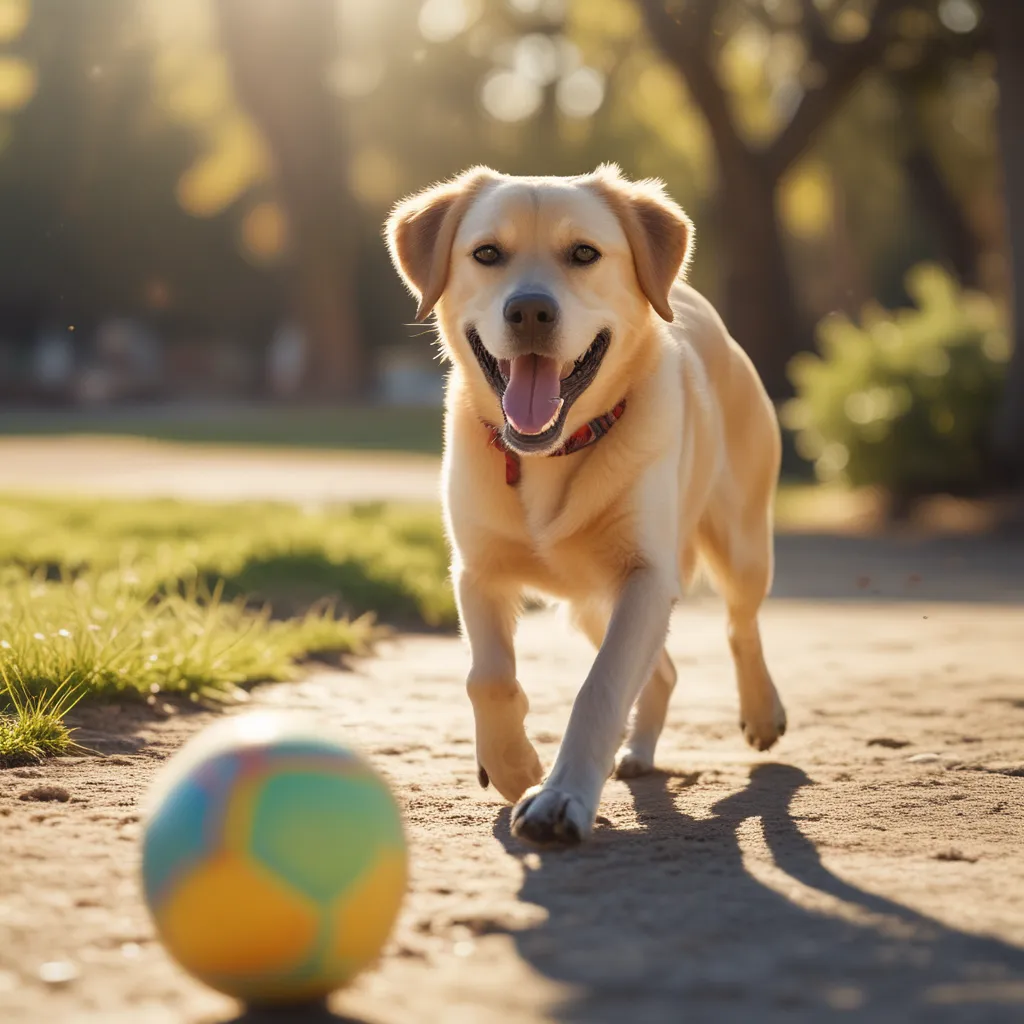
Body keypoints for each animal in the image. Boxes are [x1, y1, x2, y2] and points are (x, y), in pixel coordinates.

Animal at [385, 163, 782, 843]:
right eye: (486, 253)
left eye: (584, 254)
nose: (530, 310)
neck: (549, 454)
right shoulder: (476, 569)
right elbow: (487, 676)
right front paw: (513, 765)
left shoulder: (646, 577)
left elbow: (600, 690)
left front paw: (560, 795)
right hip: (593, 604)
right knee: (664, 670)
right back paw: (639, 751)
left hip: (739, 542)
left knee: (741, 624)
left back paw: (762, 711)